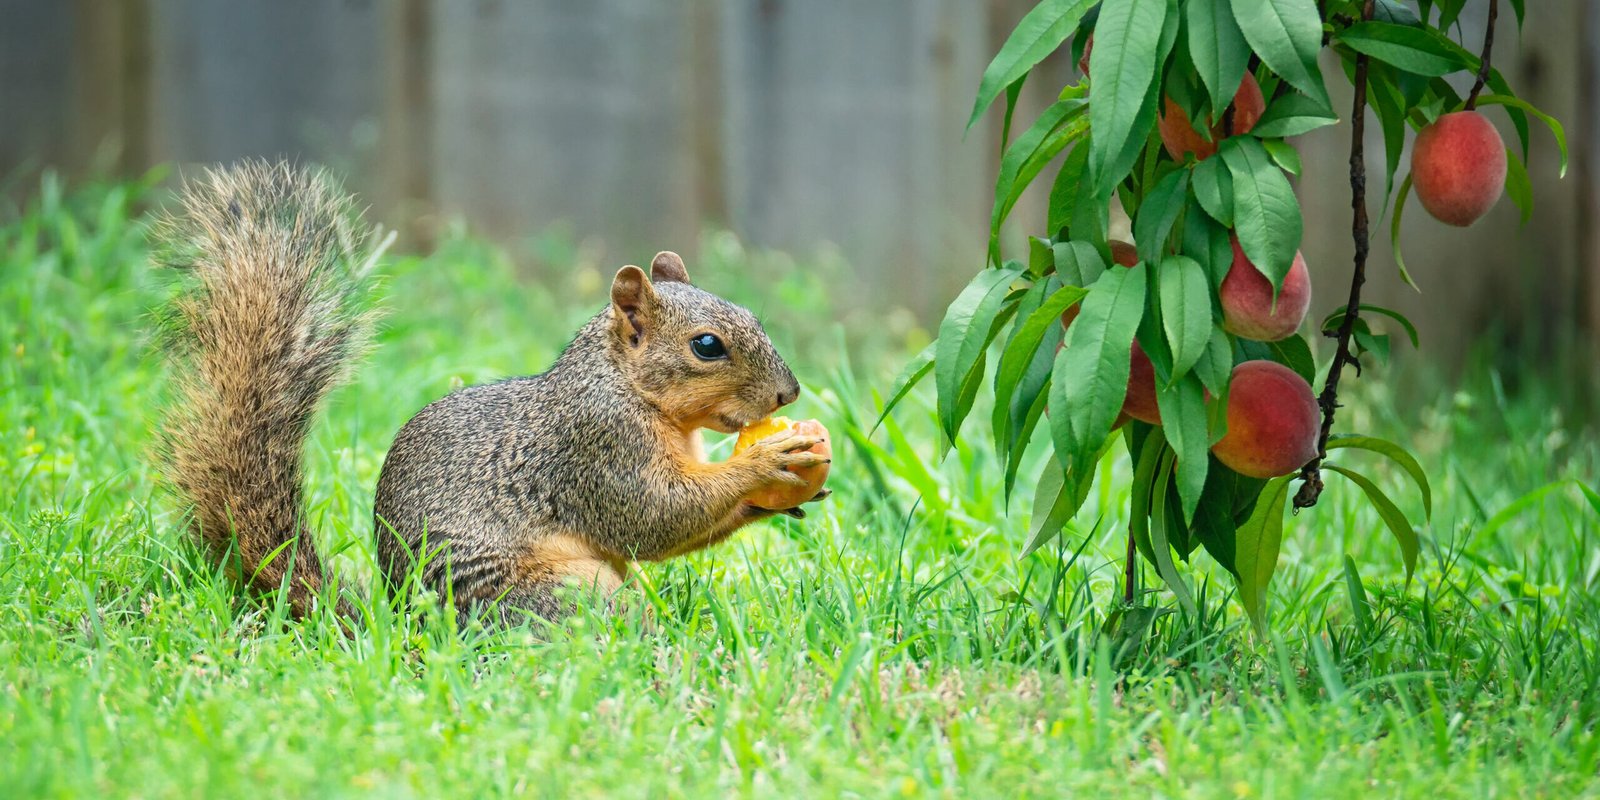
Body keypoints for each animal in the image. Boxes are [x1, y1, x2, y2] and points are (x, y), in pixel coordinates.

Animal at [155, 160, 830, 623]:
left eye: (752, 315)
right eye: (707, 346)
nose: (789, 395)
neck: (626, 386)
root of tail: (407, 628)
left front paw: (777, 499)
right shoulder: (597, 447)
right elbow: (653, 516)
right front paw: (766, 461)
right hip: (562, 594)